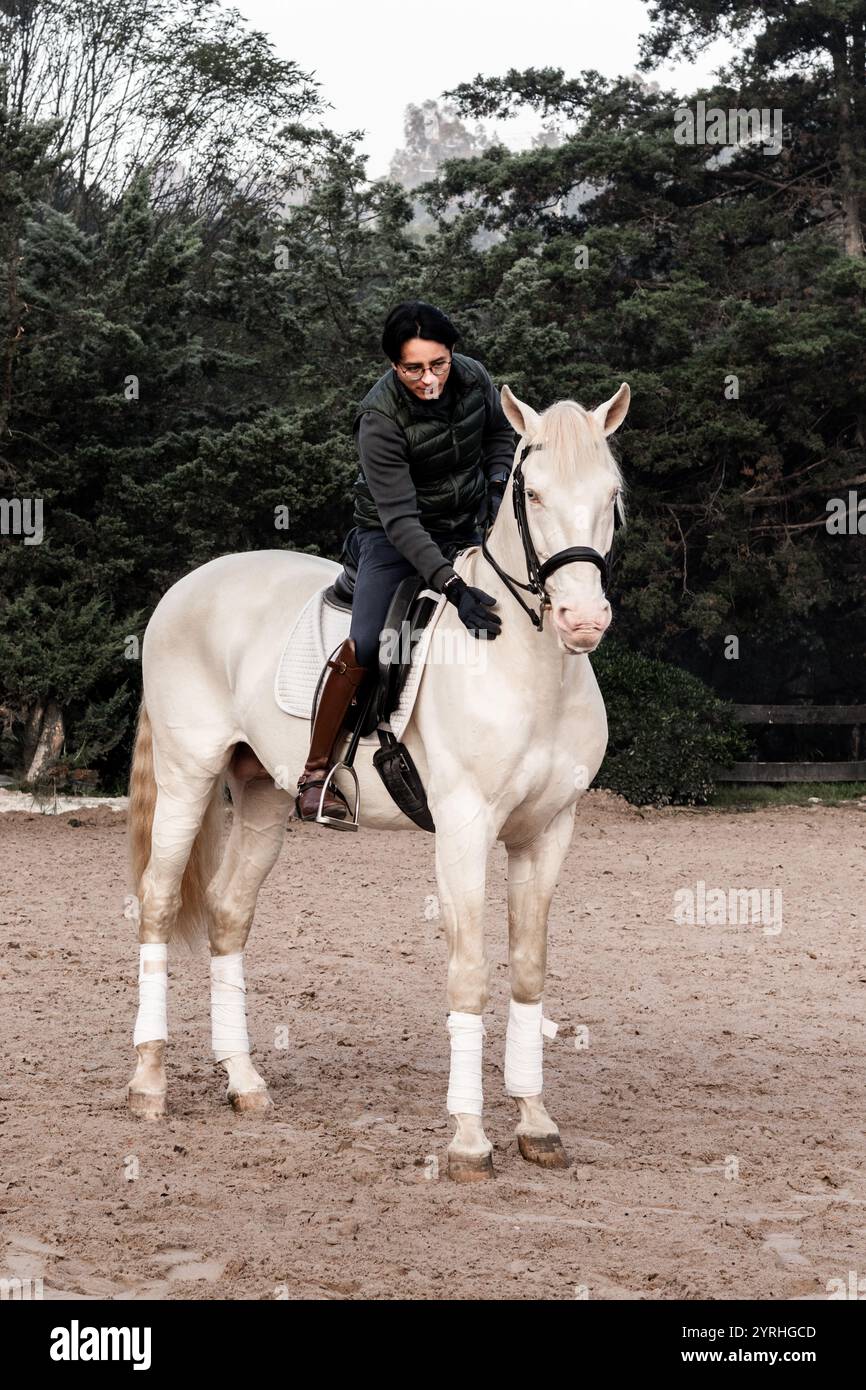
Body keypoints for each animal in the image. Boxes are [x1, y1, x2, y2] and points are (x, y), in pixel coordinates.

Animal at [125, 383, 631, 1184]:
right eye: (534, 494)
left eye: (611, 495)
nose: (584, 619)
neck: (530, 667)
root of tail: (188, 586)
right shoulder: (464, 831)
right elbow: (468, 975)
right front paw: (468, 1142)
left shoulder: (547, 833)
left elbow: (527, 973)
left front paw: (537, 1125)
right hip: (187, 776)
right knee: (158, 901)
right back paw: (148, 1085)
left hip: (263, 795)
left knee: (230, 914)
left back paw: (244, 1082)